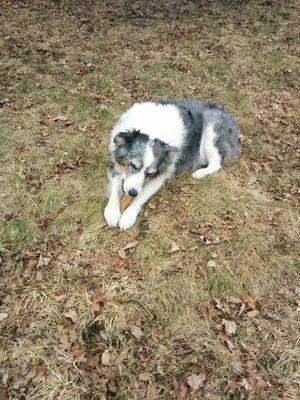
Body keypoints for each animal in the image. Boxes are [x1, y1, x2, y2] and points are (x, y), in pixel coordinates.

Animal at [103, 100, 239, 230]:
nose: (132, 193)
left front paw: (128, 216)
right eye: (133, 165)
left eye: (150, 173)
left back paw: (200, 173)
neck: (154, 128)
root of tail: (229, 115)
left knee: (216, 163)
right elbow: (116, 186)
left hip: (212, 130)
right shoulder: (118, 167)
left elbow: (141, 196)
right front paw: (112, 211)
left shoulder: (160, 176)